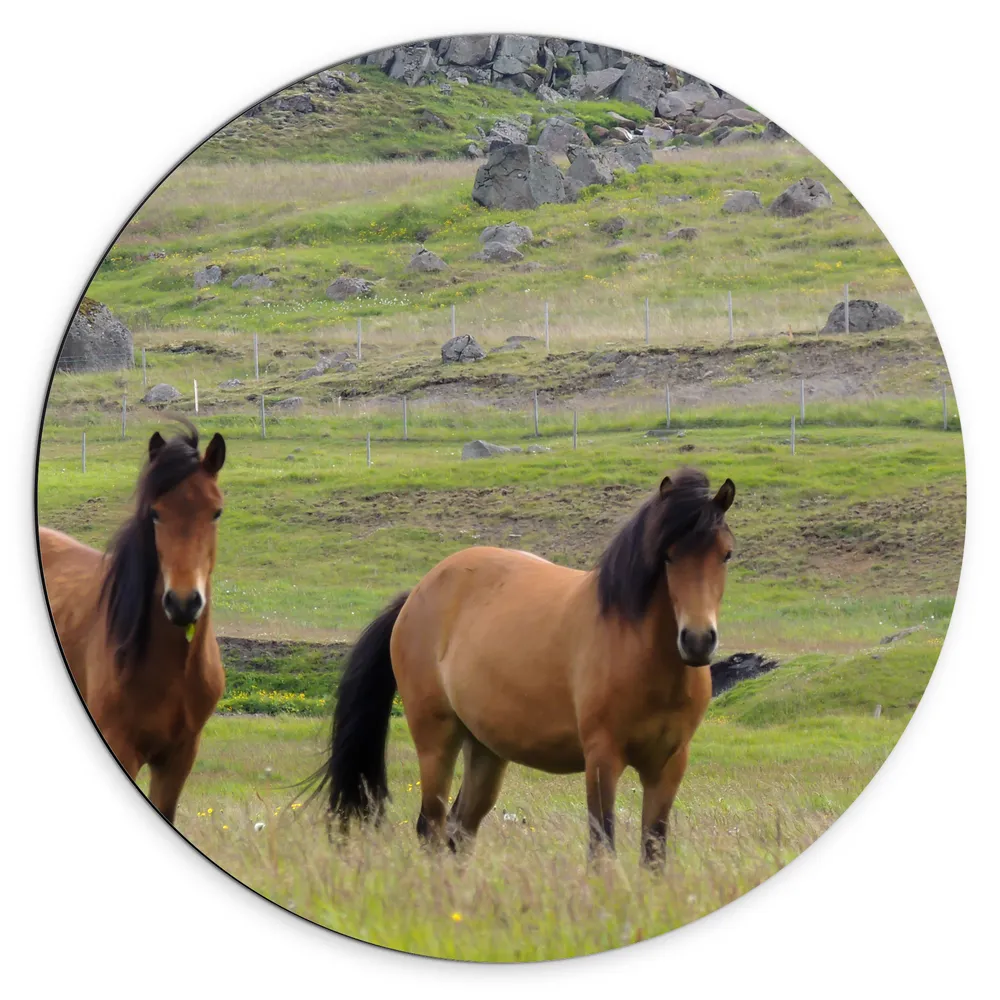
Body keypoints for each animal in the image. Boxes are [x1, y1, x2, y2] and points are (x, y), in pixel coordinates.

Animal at [315, 466, 736, 867]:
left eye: (726, 554)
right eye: (667, 554)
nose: (698, 640)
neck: (640, 651)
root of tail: (416, 594)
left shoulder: (669, 766)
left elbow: (653, 854)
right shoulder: (602, 759)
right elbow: (601, 849)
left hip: (485, 749)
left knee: (459, 831)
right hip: (436, 740)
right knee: (430, 828)